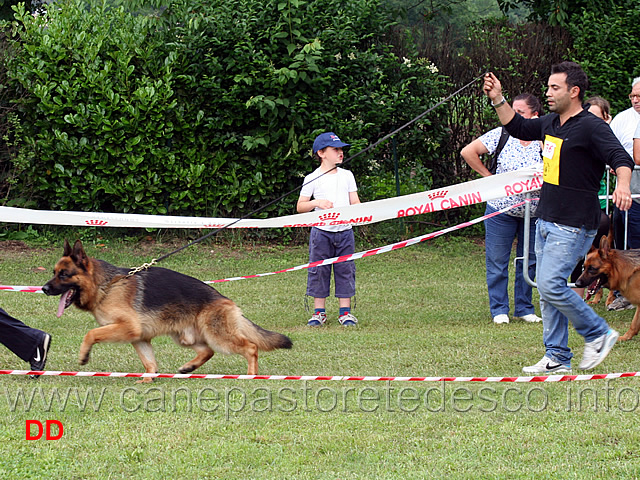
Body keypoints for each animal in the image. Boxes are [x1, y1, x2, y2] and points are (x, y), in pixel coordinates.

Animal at [43, 238, 294, 380]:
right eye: (54, 273)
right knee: (207, 351)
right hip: (185, 337)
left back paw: (251, 376)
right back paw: (188, 367)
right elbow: (149, 363)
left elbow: (91, 333)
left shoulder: (128, 328)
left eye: (63, 275)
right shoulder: (139, 337)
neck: (106, 285)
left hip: (217, 335)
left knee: (250, 347)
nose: (44, 288)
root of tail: (225, 300)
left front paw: (84, 355)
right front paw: (148, 380)